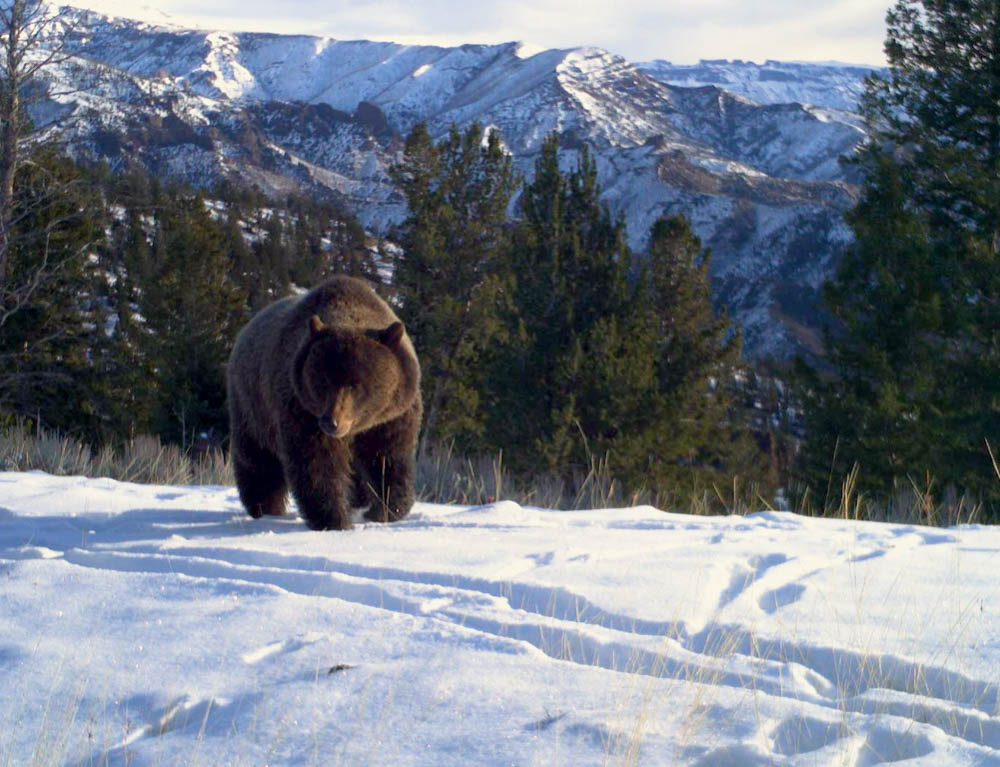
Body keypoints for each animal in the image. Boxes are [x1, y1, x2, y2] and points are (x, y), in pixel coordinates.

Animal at [227, 278, 422, 536]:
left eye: (355, 383)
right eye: (324, 379)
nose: (332, 422)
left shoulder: (392, 417)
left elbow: (388, 460)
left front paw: (385, 510)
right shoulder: (302, 410)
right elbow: (317, 463)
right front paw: (334, 520)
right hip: (252, 404)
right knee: (258, 459)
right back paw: (266, 508)